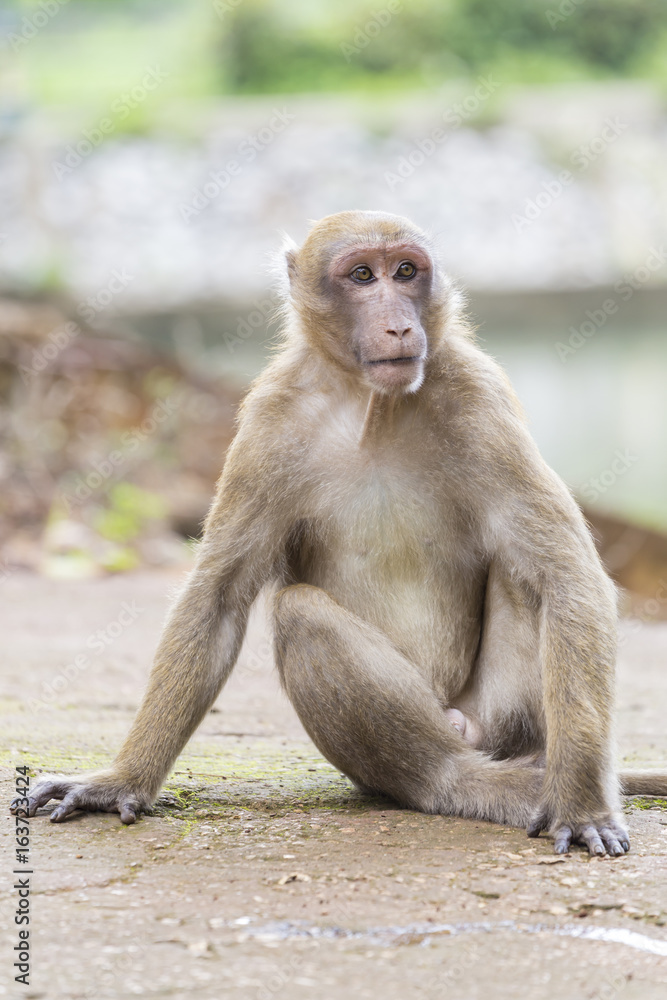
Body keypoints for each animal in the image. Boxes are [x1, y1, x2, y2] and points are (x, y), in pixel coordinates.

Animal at [12, 210, 667, 855]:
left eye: (406, 272)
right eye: (361, 276)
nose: (399, 326)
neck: (371, 405)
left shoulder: (481, 398)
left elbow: (565, 574)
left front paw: (579, 805)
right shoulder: (269, 423)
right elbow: (218, 598)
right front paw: (122, 780)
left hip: (499, 715)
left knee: (522, 576)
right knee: (300, 612)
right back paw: (448, 779)